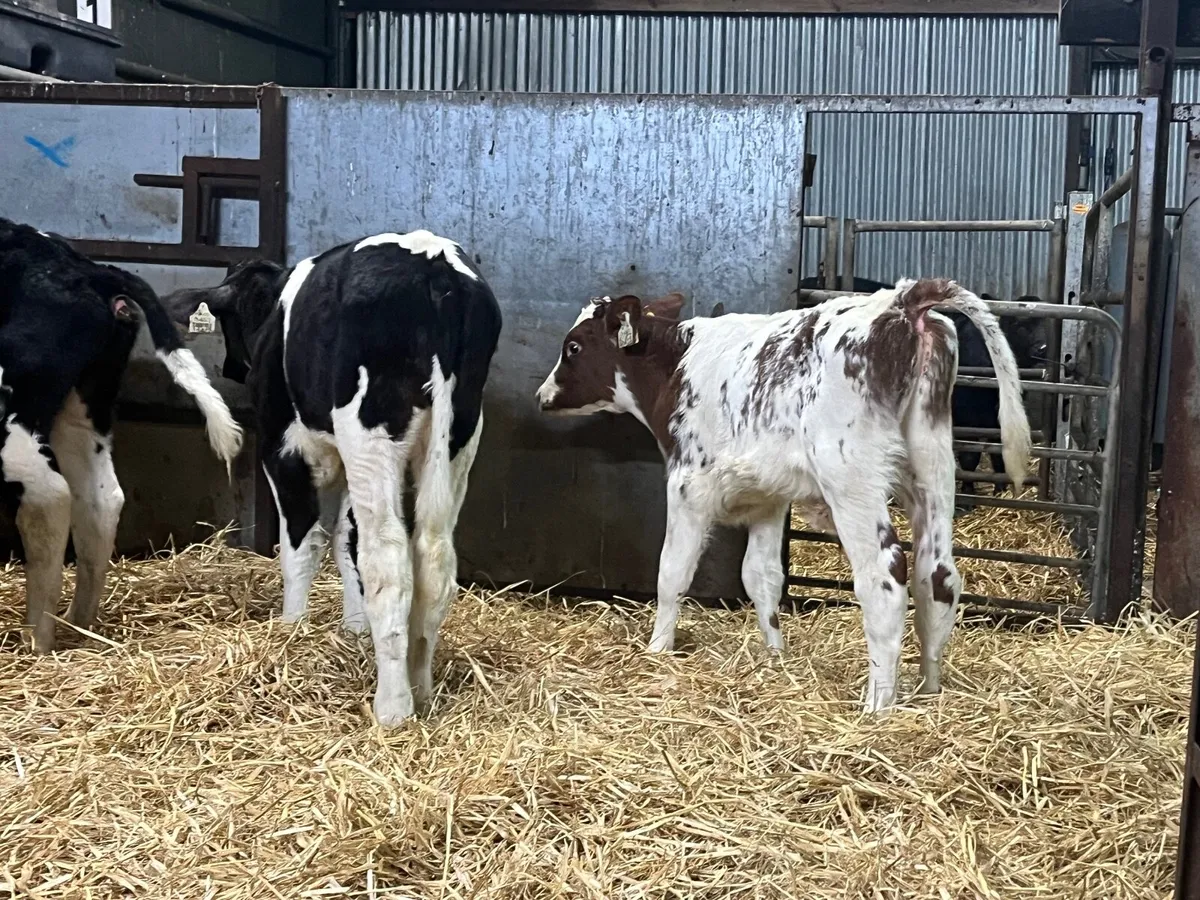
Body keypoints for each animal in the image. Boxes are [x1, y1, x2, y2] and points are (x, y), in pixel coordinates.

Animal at [0, 218, 243, 653]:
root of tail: (88, 270)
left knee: (49, 496)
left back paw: (37, 640)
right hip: (83, 406)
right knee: (99, 500)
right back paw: (78, 626)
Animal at [163, 230, 502, 726]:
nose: (231, 367)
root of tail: (434, 264)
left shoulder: (282, 447)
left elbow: (303, 544)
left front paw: (292, 628)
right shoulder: (346, 462)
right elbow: (346, 542)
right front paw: (356, 631)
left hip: (370, 433)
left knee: (388, 559)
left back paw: (393, 708)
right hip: (458, 436)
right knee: (434, 557)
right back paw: (420, 689)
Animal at [536, 278, 1029, 712]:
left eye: (574, 347)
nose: (542, 396)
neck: (676, 365)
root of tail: (902, 301)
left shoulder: (687, 486)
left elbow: (671, 572)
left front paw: (657, 650)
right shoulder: (769, 498)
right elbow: (762, 577)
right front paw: (775, 656)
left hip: (852, 480)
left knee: (885, 578)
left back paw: (878, 704)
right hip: (933, 469)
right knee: (938, 577)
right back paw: (930, 690)